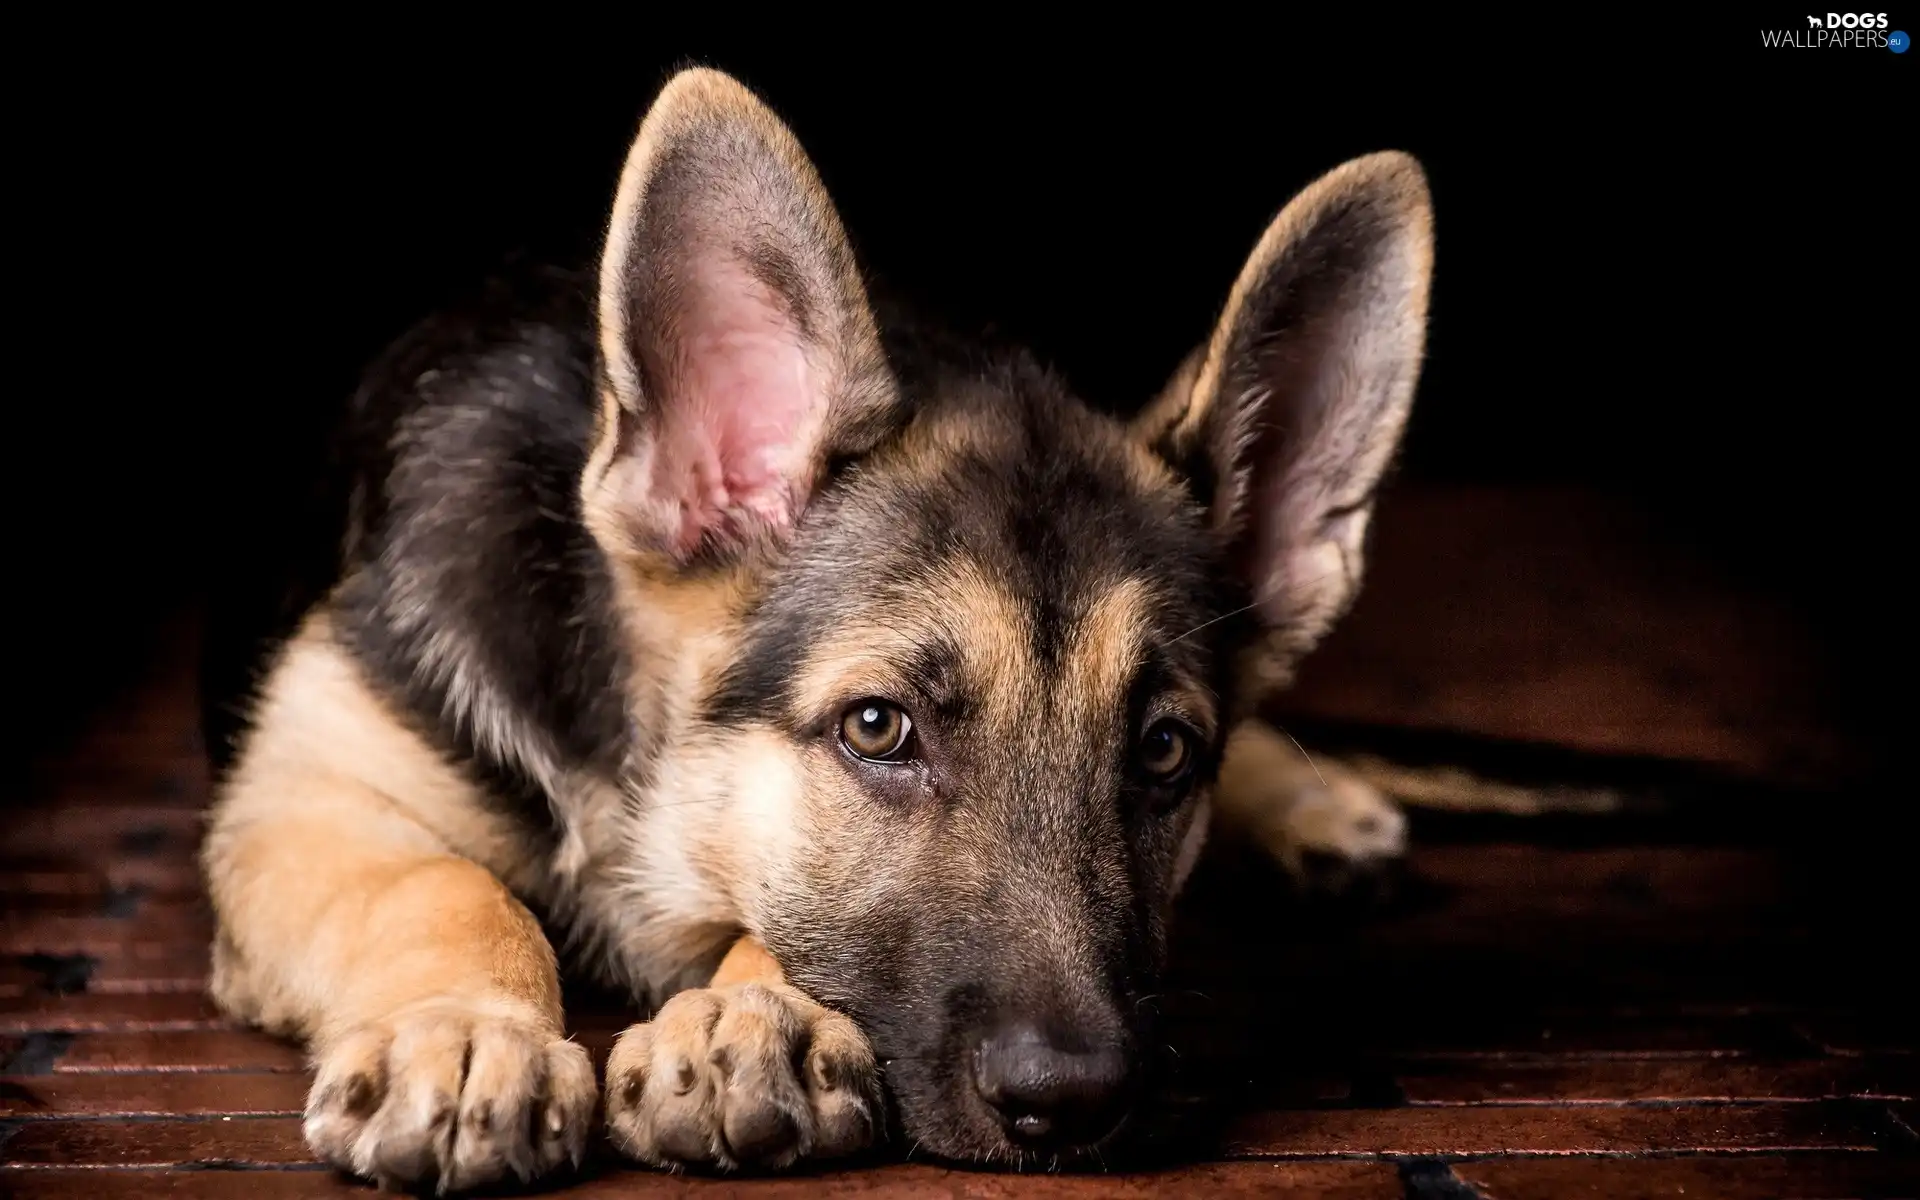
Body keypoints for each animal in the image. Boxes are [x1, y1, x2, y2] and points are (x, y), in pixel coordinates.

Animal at [202, 70, 1436, 1190]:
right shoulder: (304, 798)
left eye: (1166, 750)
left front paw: (749, 1012)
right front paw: (466, 1032)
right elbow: (445, 887)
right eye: (877, 728)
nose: (1073, 1102)